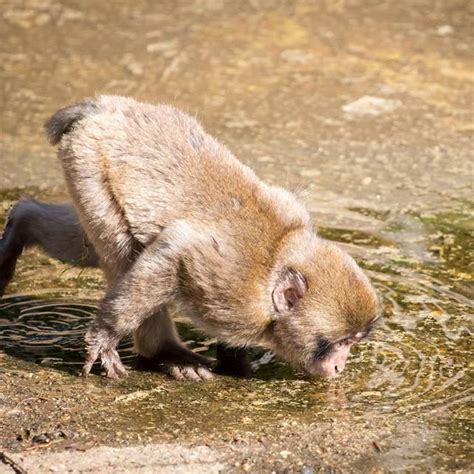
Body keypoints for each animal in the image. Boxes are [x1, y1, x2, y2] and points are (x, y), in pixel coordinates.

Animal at [0, 96, 378, 382]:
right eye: (342, 341)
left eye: (354, 341)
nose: (340, 365)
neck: (278, 257)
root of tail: (104, 106)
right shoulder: (232, 288)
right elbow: (174, 249)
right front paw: (105, 337)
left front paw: (234, 359)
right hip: (89, 167)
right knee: (123, 254)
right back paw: (163, 352)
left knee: (90, 248)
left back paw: (22, 220)